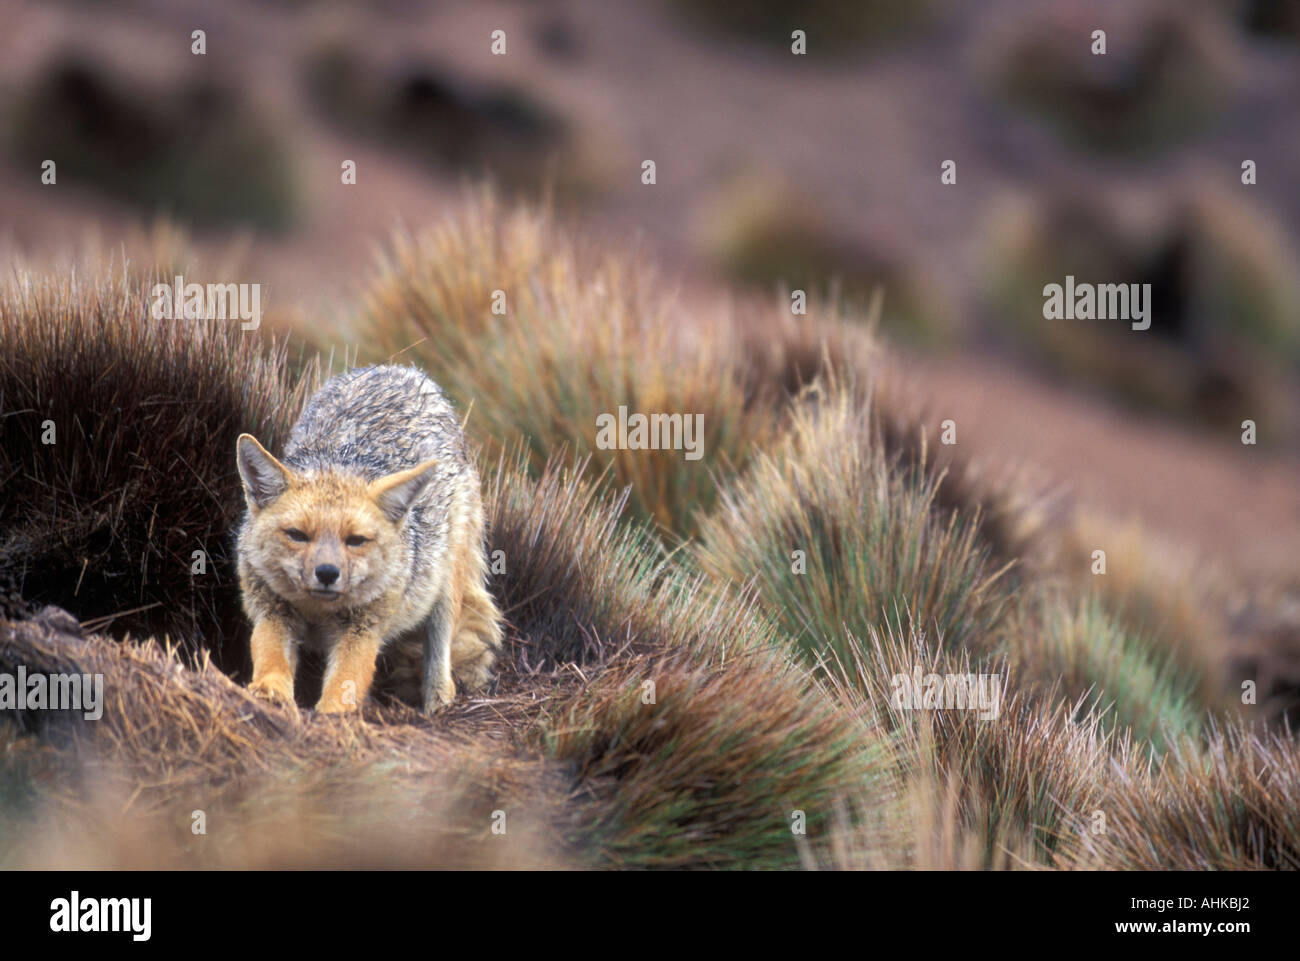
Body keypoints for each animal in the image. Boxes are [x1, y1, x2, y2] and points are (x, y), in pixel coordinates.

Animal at [234, 364, 503, 714]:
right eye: (297, 535)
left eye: (356, 540)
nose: (327, 573)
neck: (318, 610)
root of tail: (400, 370)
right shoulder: (272, 612)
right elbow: (271, 661)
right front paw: (268, 693)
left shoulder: (363, 631)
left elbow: (344, 686)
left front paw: (330, 714)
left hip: (444, 593)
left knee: (442, 663)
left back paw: (437, 705)